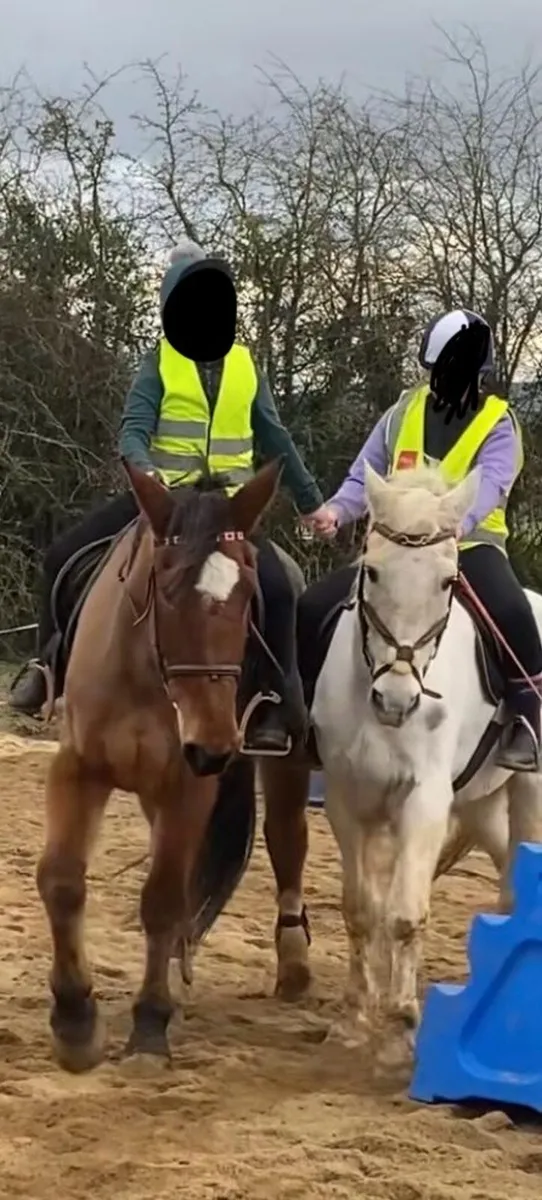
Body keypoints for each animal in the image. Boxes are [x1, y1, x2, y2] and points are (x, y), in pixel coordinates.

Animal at [36, 459, 312, 1072]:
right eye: (166, 586)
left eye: (248, 591)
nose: (213, 745)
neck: (144, 675)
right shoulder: (78, 769)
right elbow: (62, 880)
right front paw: (74, 1021)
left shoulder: (186, 787)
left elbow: (162, 899)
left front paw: (149, 1025)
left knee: (285, 843)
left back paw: (292, 962)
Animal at [308, 461, 542, 1062]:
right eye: (372, 572)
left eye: (446, 582)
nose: (396, 701)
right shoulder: (347, 799)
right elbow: (362, 908)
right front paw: (354, 1018)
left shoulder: (424, 800)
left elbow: (405, 914)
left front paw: (402, 1026)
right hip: (481, 804)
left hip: (527, 792)